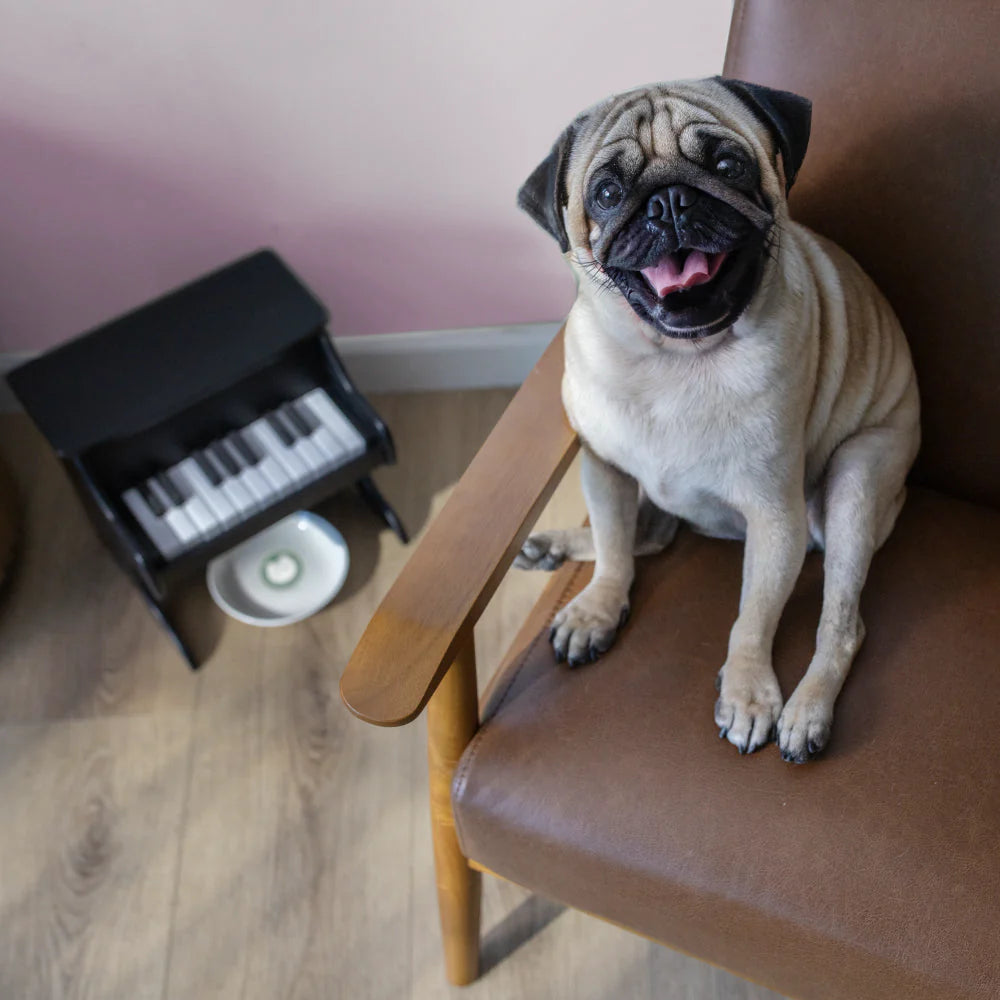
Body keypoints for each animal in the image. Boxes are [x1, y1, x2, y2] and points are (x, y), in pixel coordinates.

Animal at [516, 78, 920, 760]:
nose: (669, 201)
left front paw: (750, 694)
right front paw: (599, 608)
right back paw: (552, 548)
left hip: (857, 479)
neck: (673, 359)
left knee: (843, 624)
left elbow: (753, 617)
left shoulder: (774, 519)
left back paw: (807, 712)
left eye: (729, 166)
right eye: (607, 193)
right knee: (644, 538)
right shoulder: (603, 470)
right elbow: (616, 550)